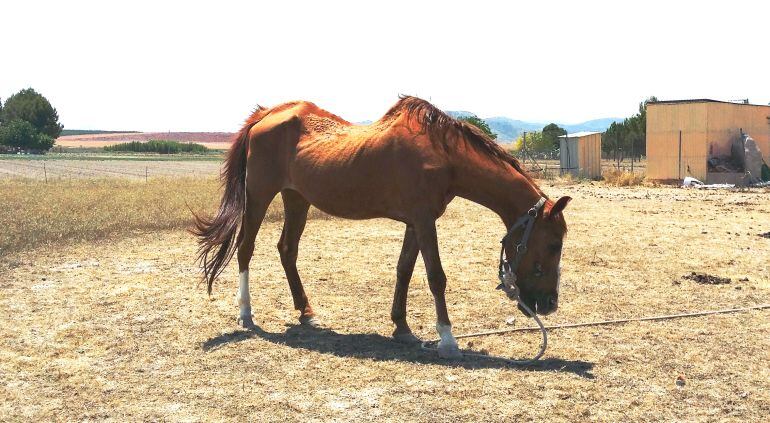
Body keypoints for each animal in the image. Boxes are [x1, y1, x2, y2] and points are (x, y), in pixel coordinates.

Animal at [195, 96, 568, 358]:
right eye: (554, 244)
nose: (549, 304)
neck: (442, 155)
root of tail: (266, 115)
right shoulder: (424, 220)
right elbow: (436, 276)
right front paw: (447, 339)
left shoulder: (416, 222)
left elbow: (405, 269)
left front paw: (401, 327)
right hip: (259, 194)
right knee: (245, 248)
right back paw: (246, 313)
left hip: (296, 197)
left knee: (287, 249)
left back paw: (306, 312)